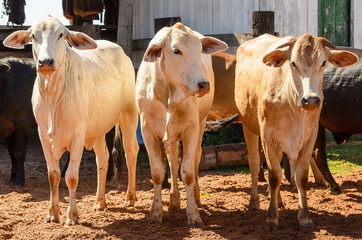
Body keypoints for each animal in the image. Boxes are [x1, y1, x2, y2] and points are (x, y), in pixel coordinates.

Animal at [0, 57, 37, 187]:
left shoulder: (23, 124)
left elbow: (19, 153)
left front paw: (19, 180)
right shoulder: (9, 128)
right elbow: (12, 155)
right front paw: (12, 178)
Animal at [4, 15, 140, 225]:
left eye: (61, 35)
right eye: (33, 36)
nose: (46, 61)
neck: (53, 97)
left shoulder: (77, 136)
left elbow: (71, 177)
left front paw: (72, 215)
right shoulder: (43, 135)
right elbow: (53, 175)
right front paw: (53, 213)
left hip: (128, 114)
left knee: (131, 151)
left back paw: (130, 197)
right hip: (98, 128)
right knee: (103, 158)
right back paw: (99, 201)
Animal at [137, 23, 228, 227]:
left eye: (200, 49)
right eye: (176, 51)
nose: (203, 84)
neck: (167, 94)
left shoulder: (191, 128)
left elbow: (187, 172)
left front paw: (193, 215)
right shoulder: (147, 130)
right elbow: (157, 172)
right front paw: (156, 213)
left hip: (200, 124)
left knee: (195, 159)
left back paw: (195, 196)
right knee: (172, 160)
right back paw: (174, 200)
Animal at [236, 33, 358, 231]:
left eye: (323, 62)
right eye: (293, 63)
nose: (311, 100)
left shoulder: (309, 138)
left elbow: (300, 177)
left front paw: (305, 218)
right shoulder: (268, 137)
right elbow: (273, 176)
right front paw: (271, 218)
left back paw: (279, 201)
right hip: (248, 126)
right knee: (254, 163)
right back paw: (254, 202)